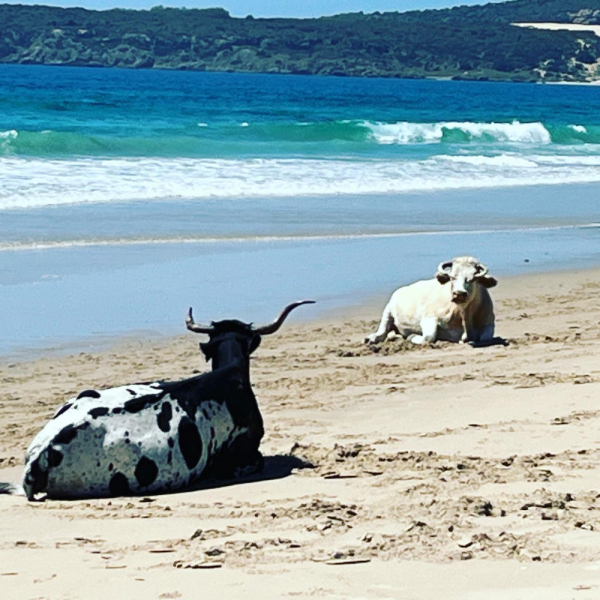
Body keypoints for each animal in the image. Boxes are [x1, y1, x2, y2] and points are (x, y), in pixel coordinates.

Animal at [366, 258, 496, 346]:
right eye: (452, 277)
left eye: (472, 278)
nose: (459, 294)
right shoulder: (429, 317)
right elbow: (429, 337)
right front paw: (412, 336)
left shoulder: (489, 322)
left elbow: (485, 337)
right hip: (388, 309)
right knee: (383, 329)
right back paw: (372, 338)